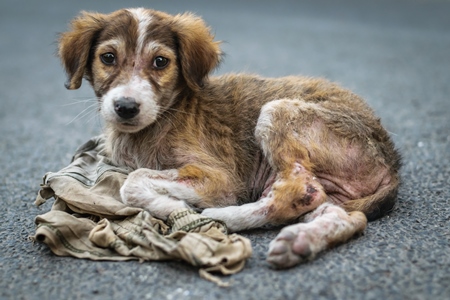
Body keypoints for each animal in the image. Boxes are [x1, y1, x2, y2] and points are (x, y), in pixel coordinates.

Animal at [59, 8, 400, 268]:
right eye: (108, 57)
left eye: (160, 62)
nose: (126, 107)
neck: (162, 117)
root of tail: (391, 164)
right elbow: (134, 178)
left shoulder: (219, 177)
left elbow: (133, 182)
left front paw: (173, 208)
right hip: (335, 196)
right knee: (344, 214)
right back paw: (300, 241)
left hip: (276, 110)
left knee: (300, 188)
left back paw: (221, 217)